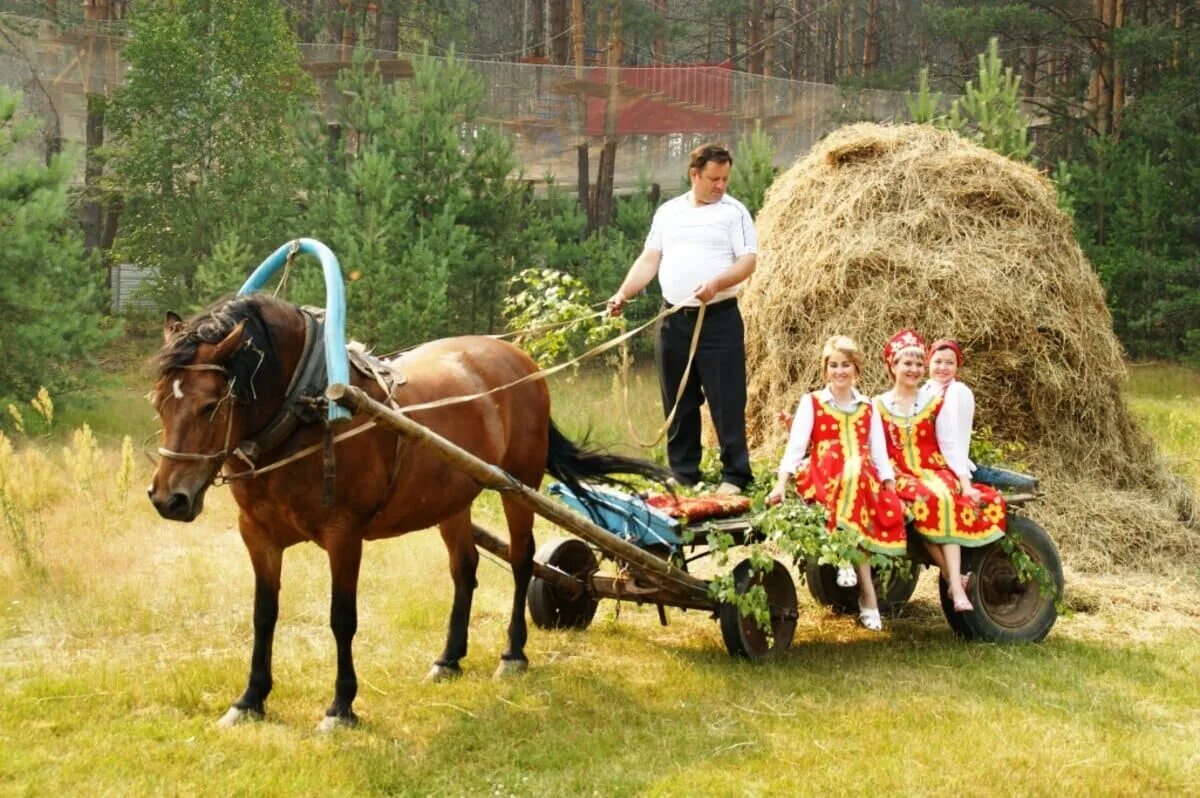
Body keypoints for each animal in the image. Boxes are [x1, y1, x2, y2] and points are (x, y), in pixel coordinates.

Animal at [148, 294, 667, 729]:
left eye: (211, 405)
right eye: (159, 403)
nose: (168, 499)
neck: (305, 411)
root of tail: (522, 362)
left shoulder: (344, 535)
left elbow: (342, 618)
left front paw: (341, 706)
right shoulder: (257, 534)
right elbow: (263, 615)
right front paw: (250, 700)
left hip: (518, 487)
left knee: (523, 562)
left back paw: (512, 654)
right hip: (452, 499)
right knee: (465, 570)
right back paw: (449, 658)